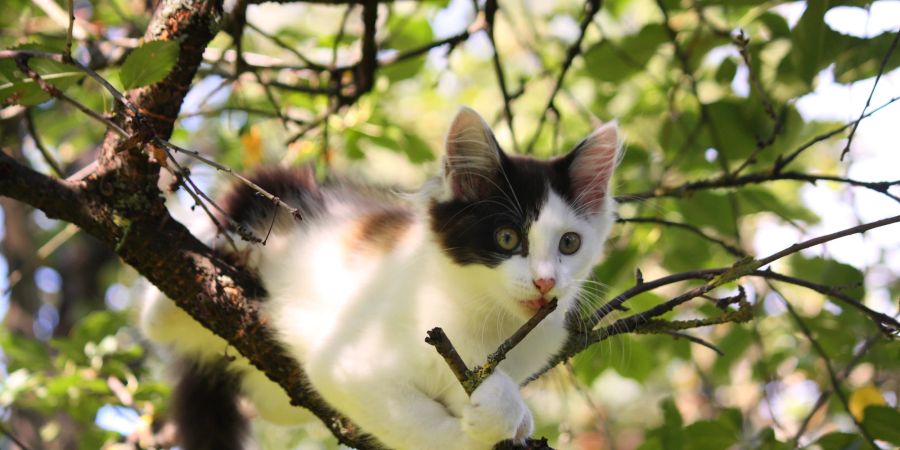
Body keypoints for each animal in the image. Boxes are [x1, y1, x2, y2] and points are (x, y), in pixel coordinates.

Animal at [142, 108, 620, 450]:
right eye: (507, 237)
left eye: (570, 244)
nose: (545, 282)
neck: (489, 317)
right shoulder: (346, 363)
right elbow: (419, 429)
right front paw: (479, 430)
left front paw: (509, 415)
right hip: (264, 191)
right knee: (155, 314)